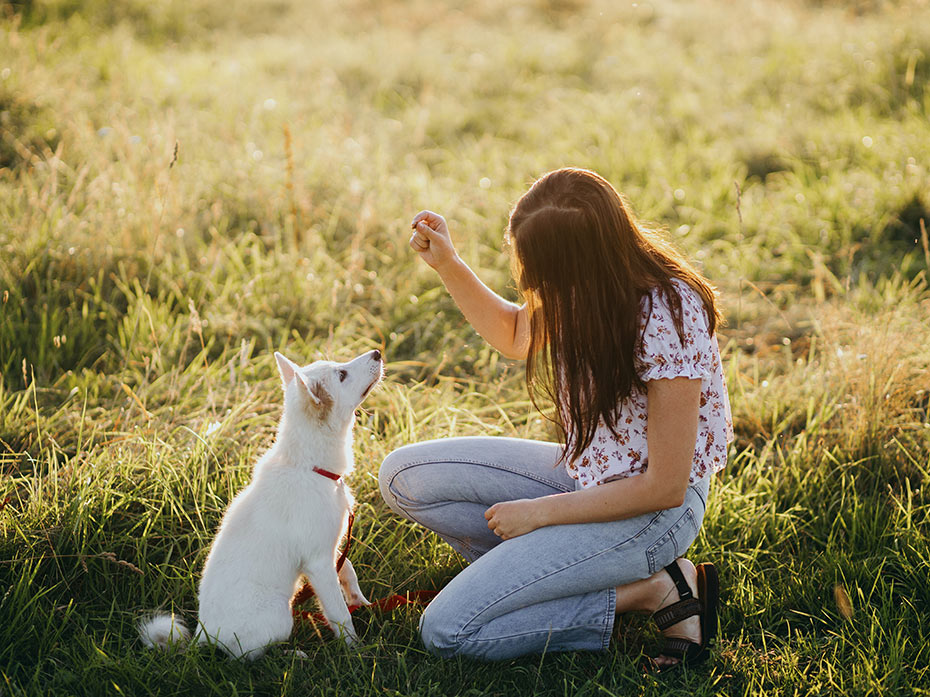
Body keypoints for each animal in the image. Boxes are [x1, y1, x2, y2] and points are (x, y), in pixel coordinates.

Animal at [139, 348, 384, 656]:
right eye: (342, 374)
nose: (377, 352)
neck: (308, 466)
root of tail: (203, 637)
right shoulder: (317, 562)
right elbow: (339, 614)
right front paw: (357, 650)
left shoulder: (329, 548)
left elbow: (347, 567)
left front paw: (360, 601)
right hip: (279, 615)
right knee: (250, 656)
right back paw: (294, 655)